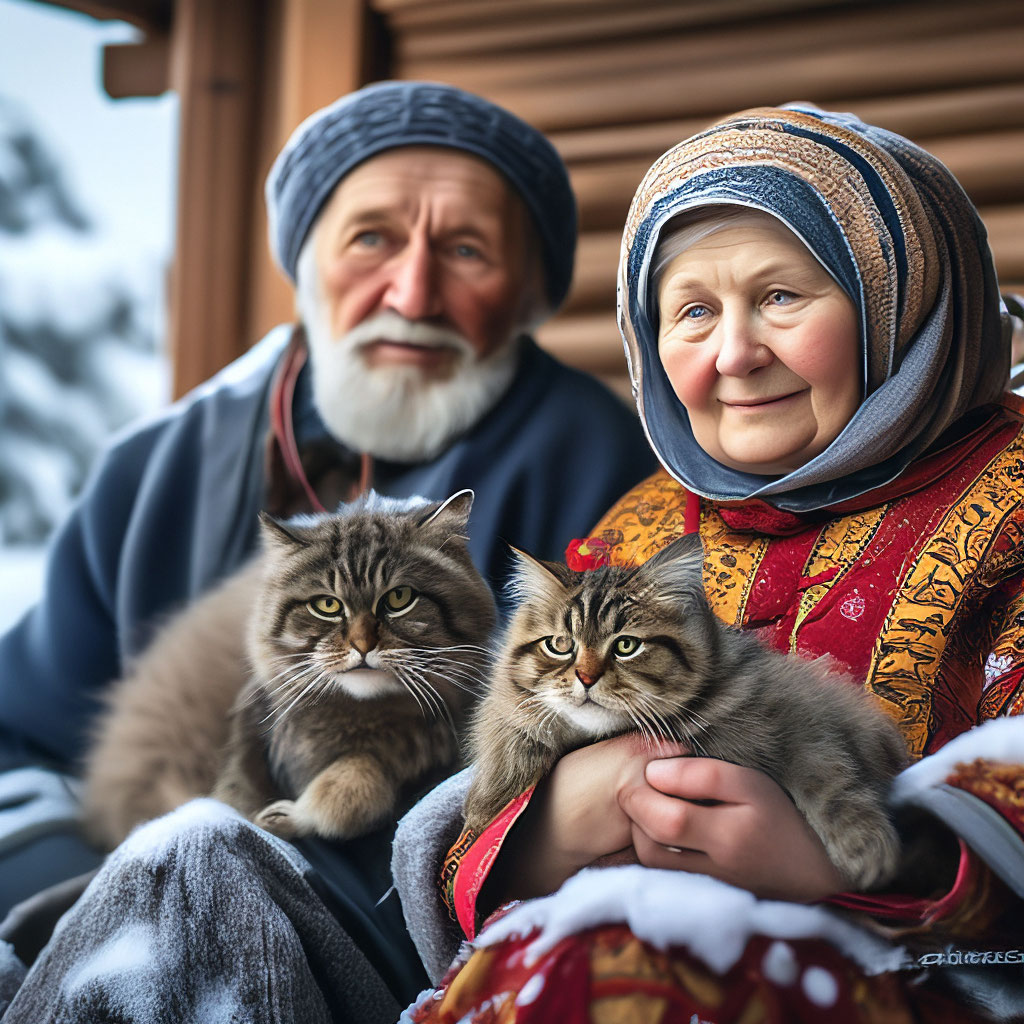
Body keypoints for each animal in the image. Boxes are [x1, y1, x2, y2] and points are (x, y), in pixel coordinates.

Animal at [80, 487, 495, 847]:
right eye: (327, 605)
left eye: (399, 598)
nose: (362, 646)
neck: (365, 717)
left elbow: (357, 781)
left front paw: (297, 814)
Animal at [464, 532, 905, 892]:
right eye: (560, 645)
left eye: (626, 646)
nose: (586, 678)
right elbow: (511, 736)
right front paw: (488, 805)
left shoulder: (804, 716)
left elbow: (832, 783)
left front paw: (867, 851)